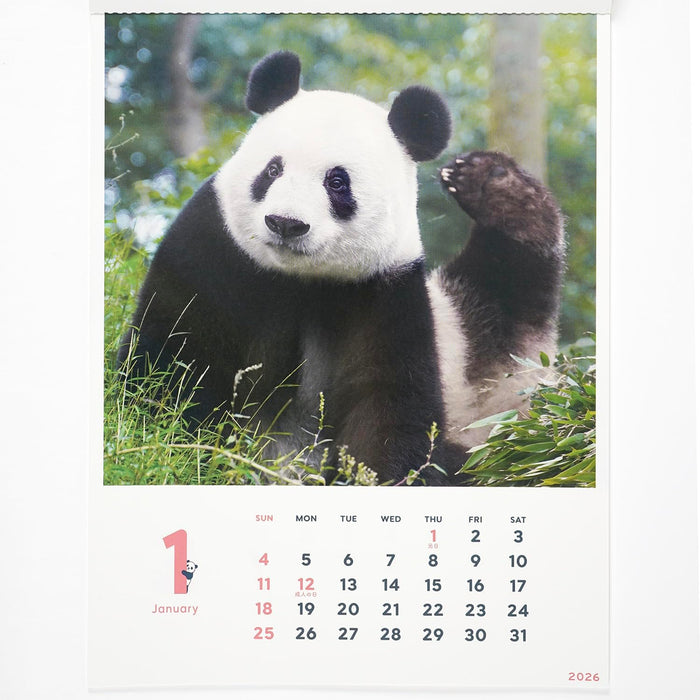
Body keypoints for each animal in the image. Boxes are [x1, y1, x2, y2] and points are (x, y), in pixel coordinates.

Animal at [118, 51, 564, 486]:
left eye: (337, 182)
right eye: (273, 170)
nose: (286, 224)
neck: (300, 278)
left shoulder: (385, 293)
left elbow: (387, 407)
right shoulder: (214, 253)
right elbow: (177, 359)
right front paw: (188, 451)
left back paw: (499, 189)